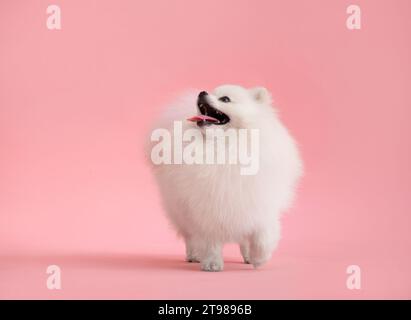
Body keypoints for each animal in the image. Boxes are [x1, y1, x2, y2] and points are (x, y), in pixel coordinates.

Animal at [148, 84, 302, 272]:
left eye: (225, 99)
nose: (202, 92)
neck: (225, 147)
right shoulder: (208, 210)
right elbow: (210, 241)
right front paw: (212, 263)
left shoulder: (259, 204)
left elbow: (263, 236)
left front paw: (259, 258)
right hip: (182, 212)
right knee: (191, 237)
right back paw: (195, 255)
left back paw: (248, 257)